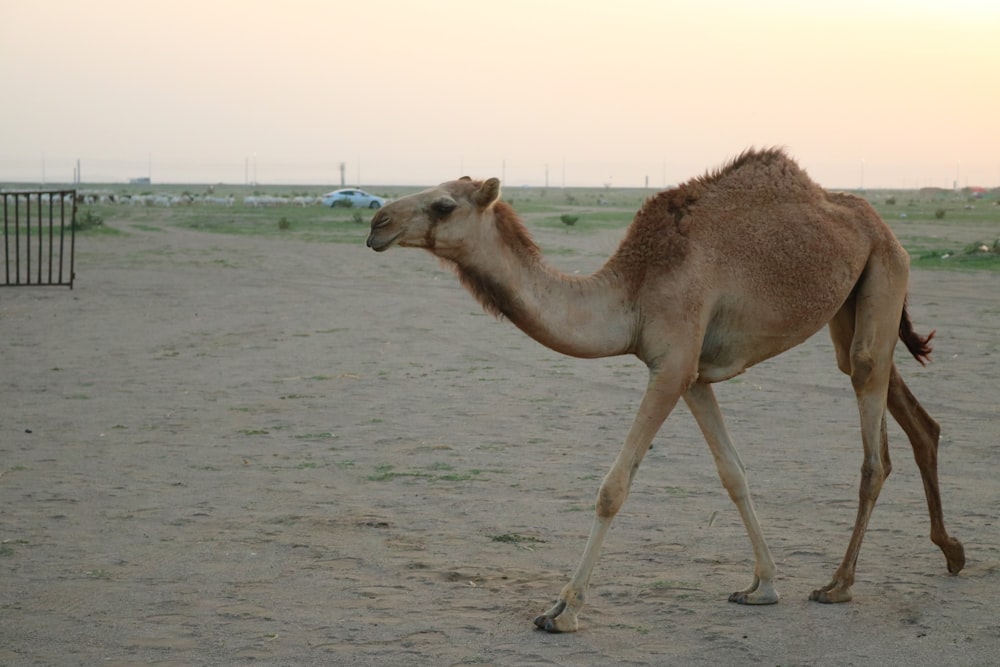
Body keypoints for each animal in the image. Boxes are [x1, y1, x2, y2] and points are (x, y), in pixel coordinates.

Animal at [364, 149, 964, 636]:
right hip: (853, 303)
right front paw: (763, 586)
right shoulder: (693, 376)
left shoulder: (671, 365)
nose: (376, 221)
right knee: (906, 409)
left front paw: (563, 610)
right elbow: (733, 474)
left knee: (872, 439)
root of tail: (876, 221)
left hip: (884, 271)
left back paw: (839, 583)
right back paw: (952, 552)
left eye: (443, 205)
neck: (632, 289)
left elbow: (613, 487)